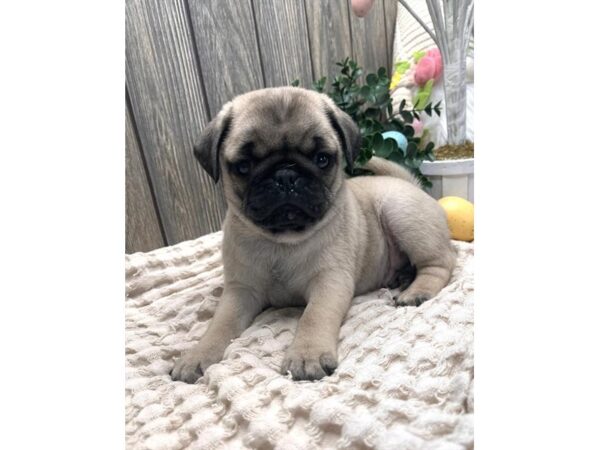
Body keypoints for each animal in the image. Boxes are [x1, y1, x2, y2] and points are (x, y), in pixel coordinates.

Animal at [169, 85, 454, 384]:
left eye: (322, 159)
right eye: (244, 166)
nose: (285, 176)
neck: (281, 242)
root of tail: (410, 184)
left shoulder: (329, 282)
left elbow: (314, 316)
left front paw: (307, 355)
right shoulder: (240, 290)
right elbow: (219, 323)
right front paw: (197, 355)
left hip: (400, 212)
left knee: (440, 263)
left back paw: (417, 290)